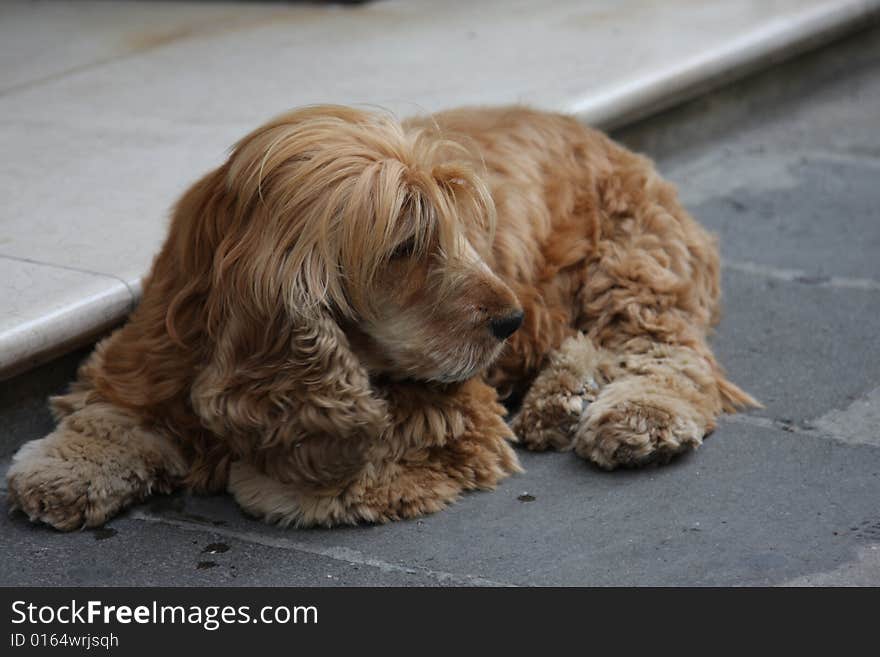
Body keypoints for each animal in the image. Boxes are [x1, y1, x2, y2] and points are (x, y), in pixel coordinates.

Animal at [5, 106, 756, 528]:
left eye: (462, 229)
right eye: (405, 246)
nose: (510, 319)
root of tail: (607, 140)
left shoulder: (452, 419)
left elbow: (300, 483)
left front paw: (252, 470)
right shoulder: (150, 345)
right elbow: (110, 410)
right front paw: (63, 471)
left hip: (632, 261)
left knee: (663, 352)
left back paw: (631, 417)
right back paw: (560, 399)